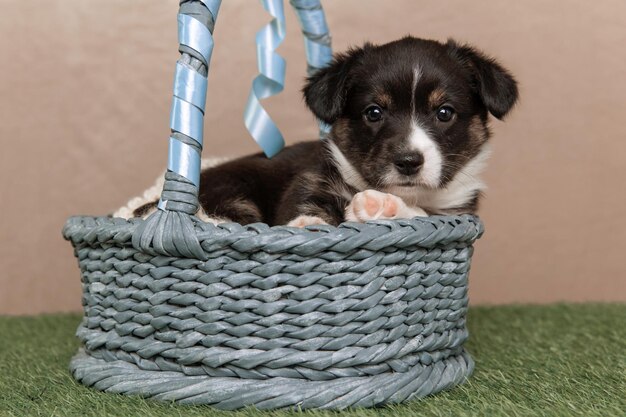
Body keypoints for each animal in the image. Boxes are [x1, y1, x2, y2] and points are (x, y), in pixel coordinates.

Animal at [118, 37, 516, 228]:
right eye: (373, 113)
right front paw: (309, 222)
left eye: (444, 113)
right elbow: (307, 206)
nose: (407, 161)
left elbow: (422, 215)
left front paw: (380, 206)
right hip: (237, 189)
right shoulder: (311, 181)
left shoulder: (455, 211)